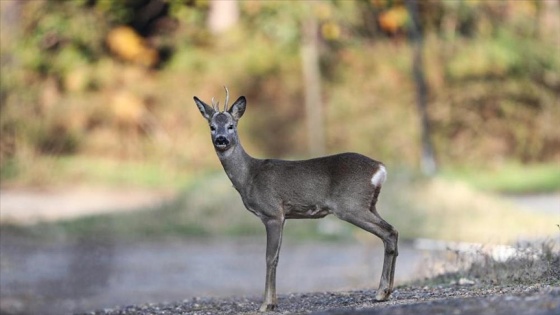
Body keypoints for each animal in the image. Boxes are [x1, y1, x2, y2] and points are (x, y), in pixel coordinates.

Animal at [195, 87, 396, 312]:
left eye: (231, 125)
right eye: (212, 127)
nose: (221, 139)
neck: (249, 177)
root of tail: (380, 168)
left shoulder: (272, 213)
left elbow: (270, 257)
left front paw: (266, 304)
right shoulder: (283, 216)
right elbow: (277, 257)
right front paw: (273, 302)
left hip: (351, 205)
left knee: (389, 231)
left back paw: (381, 293)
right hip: (370, 204)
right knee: (391, 232)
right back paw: (385, 291)